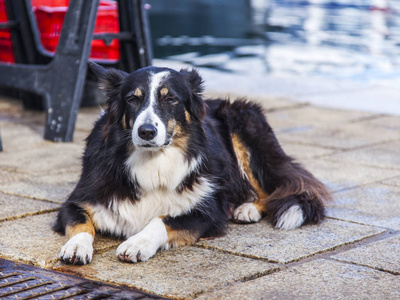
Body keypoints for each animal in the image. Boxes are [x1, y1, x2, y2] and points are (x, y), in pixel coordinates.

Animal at [54, 62, 332, 264]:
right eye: (133, 99)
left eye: (171, 99)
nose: (146, 132)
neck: (153, 160)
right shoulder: (77, 200)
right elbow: (80, 222)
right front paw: (76, 246)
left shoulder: (207, 211)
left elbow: (162, 220)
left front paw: (137, 243)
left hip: (241, 123)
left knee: (270, 189)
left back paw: (248, 208)